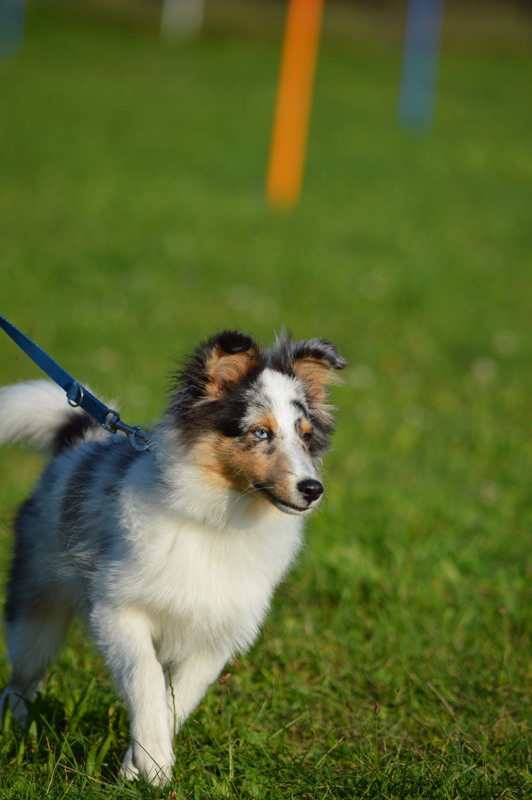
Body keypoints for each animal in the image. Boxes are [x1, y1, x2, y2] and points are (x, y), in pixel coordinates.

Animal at [0, 328, 344, 784]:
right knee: (23, 677)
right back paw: (16, 728)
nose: (312, 489)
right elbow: (145, 676)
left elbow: (179, 697)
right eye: (260, 433)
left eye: (305, 436)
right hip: (36, 607)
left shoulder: (215, 636)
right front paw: (154, 760)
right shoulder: (117, 610)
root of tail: (80, 444)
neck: (219, 520)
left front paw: (139, 765)